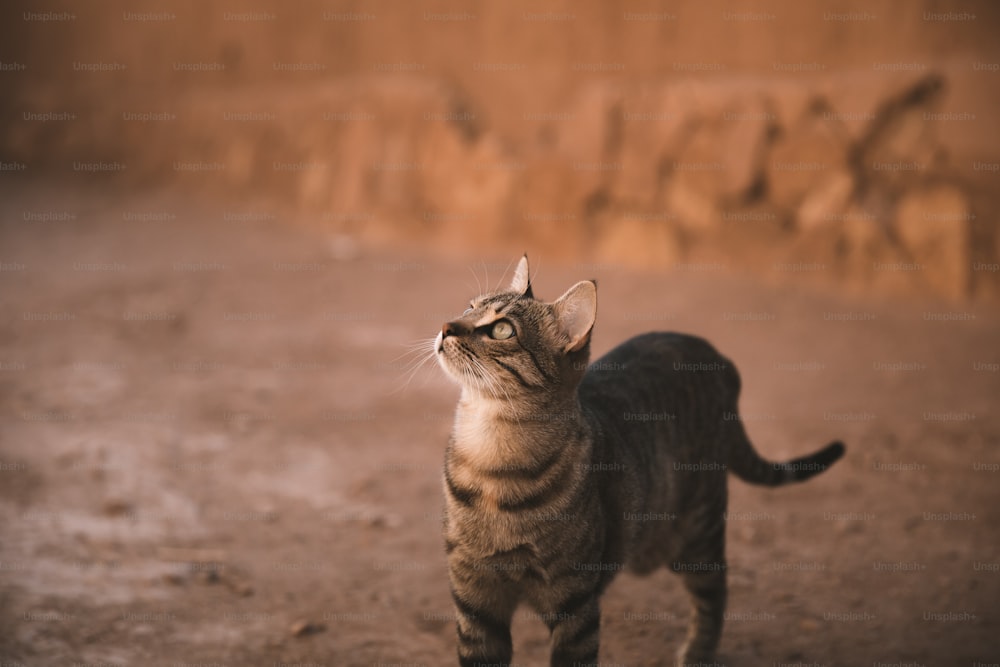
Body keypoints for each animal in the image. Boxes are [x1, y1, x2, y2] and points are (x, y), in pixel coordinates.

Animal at [436, 256, 844, 667]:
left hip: (698, 534)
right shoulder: (476, 603)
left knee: (715, 595)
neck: (490, 461)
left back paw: (697, 654)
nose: (445, 326)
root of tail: (718, 356)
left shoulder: (575, 606)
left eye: (501, 329)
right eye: (470, 308)